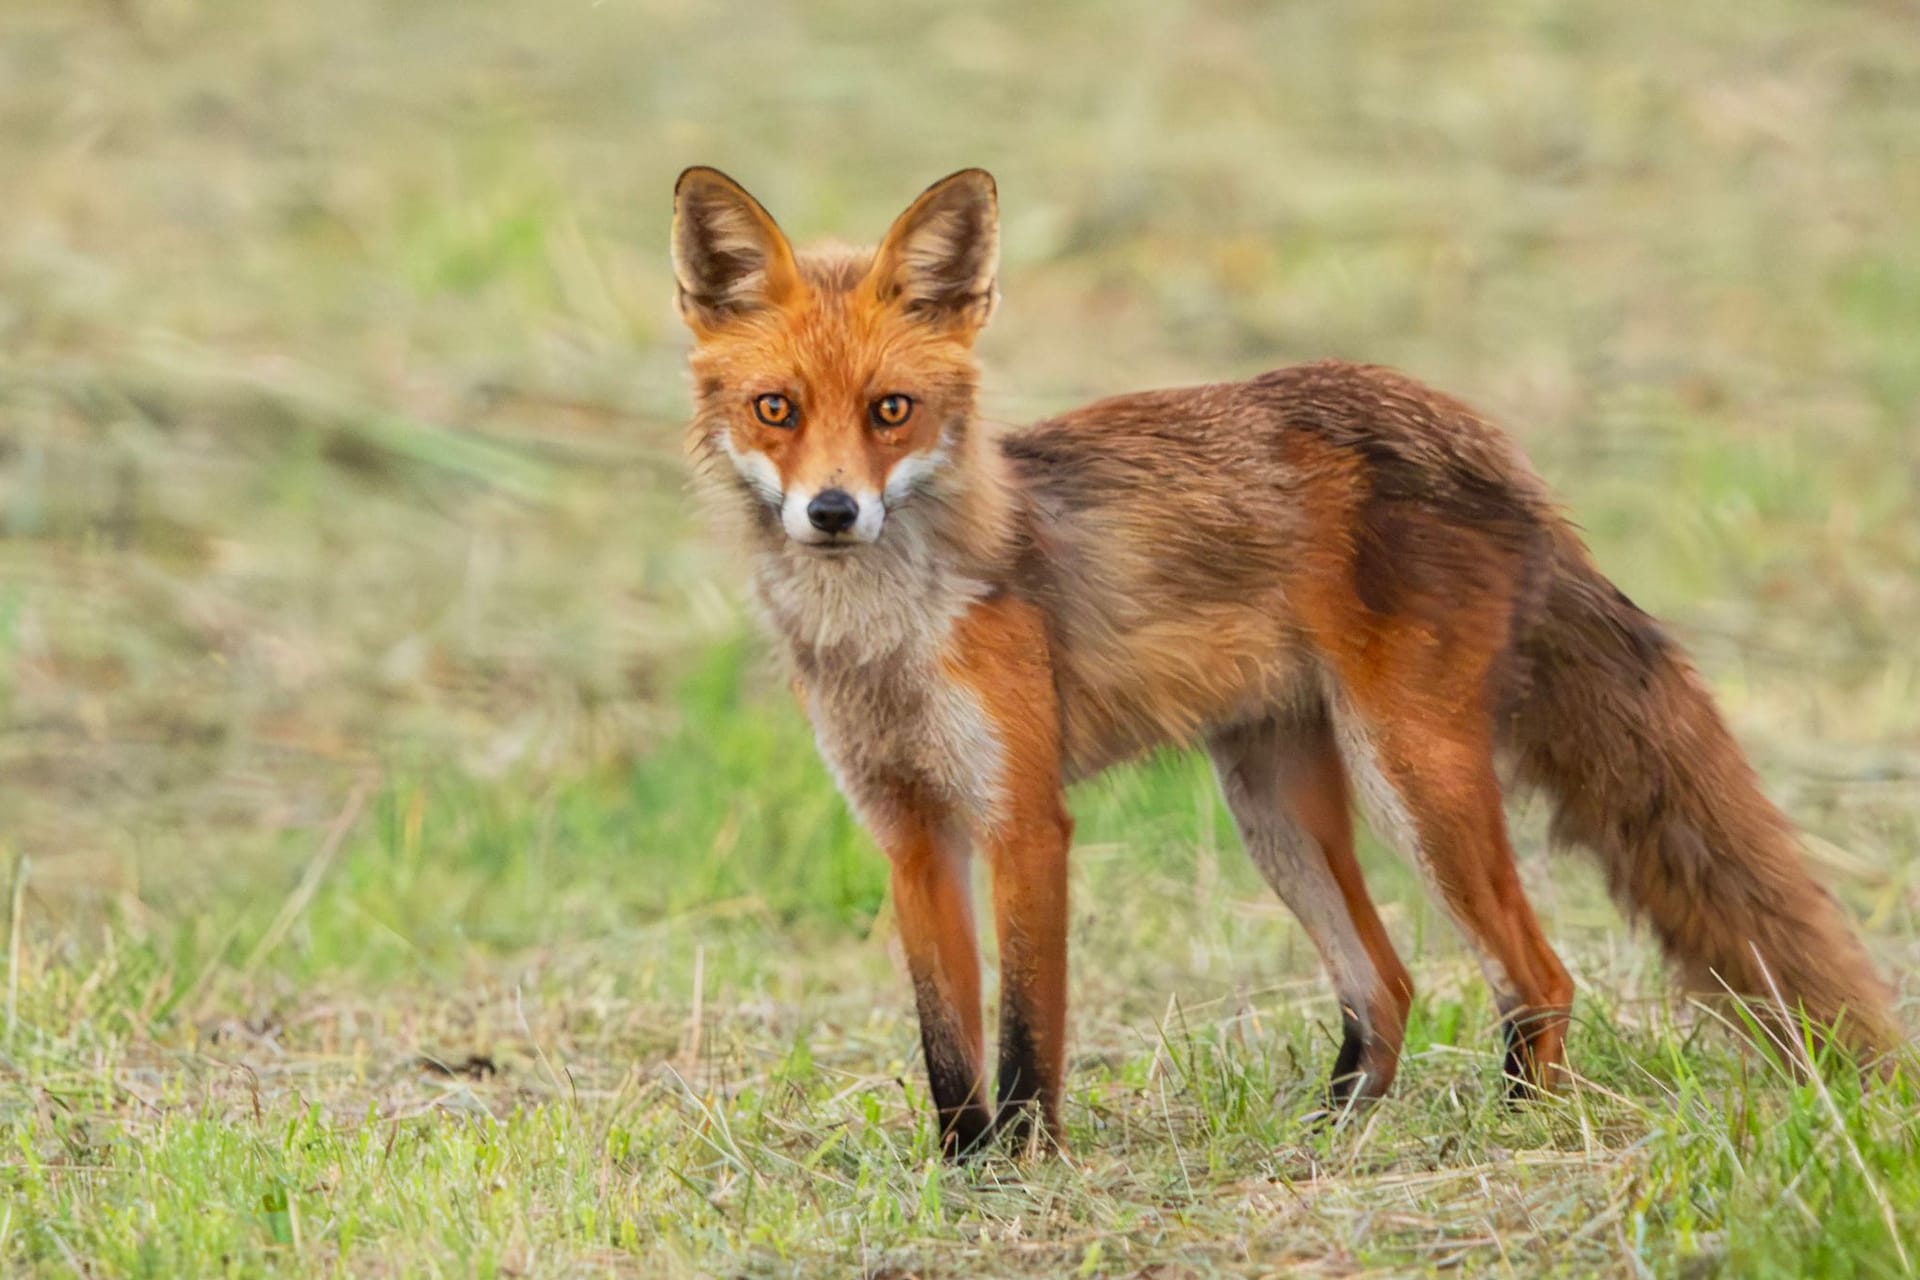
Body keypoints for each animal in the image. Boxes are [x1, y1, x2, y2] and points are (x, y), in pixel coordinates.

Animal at [668, 165, 1896, 1159]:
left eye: (893, 410)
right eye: (776, 409)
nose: (833, 513)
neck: (882, 637)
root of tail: (1484, 440)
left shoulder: (1022, 818)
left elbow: (1024, 1038)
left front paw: (1026, 1169)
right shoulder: (910, 827)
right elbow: (945, 1049)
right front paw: (963, 1170)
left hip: (1413, 779)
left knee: (1539, 977)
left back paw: (1511, 1133)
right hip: (1274, 802)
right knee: (1388, 983)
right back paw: (1330, 1134)